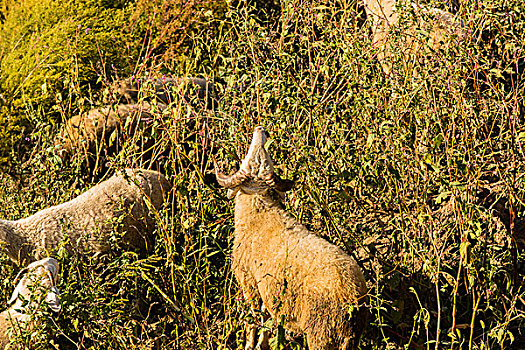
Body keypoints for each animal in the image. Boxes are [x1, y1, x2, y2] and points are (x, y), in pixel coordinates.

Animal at [215, 127, 366, 348]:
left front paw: (251, 344)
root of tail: (351, 295)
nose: (261, 130)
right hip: (349, 338)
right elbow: (265, 318)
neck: (259, 212)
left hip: (320, 333)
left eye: (250, 160)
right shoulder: (267, 291)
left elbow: (254, 317)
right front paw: (262, 343)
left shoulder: (248, 280)